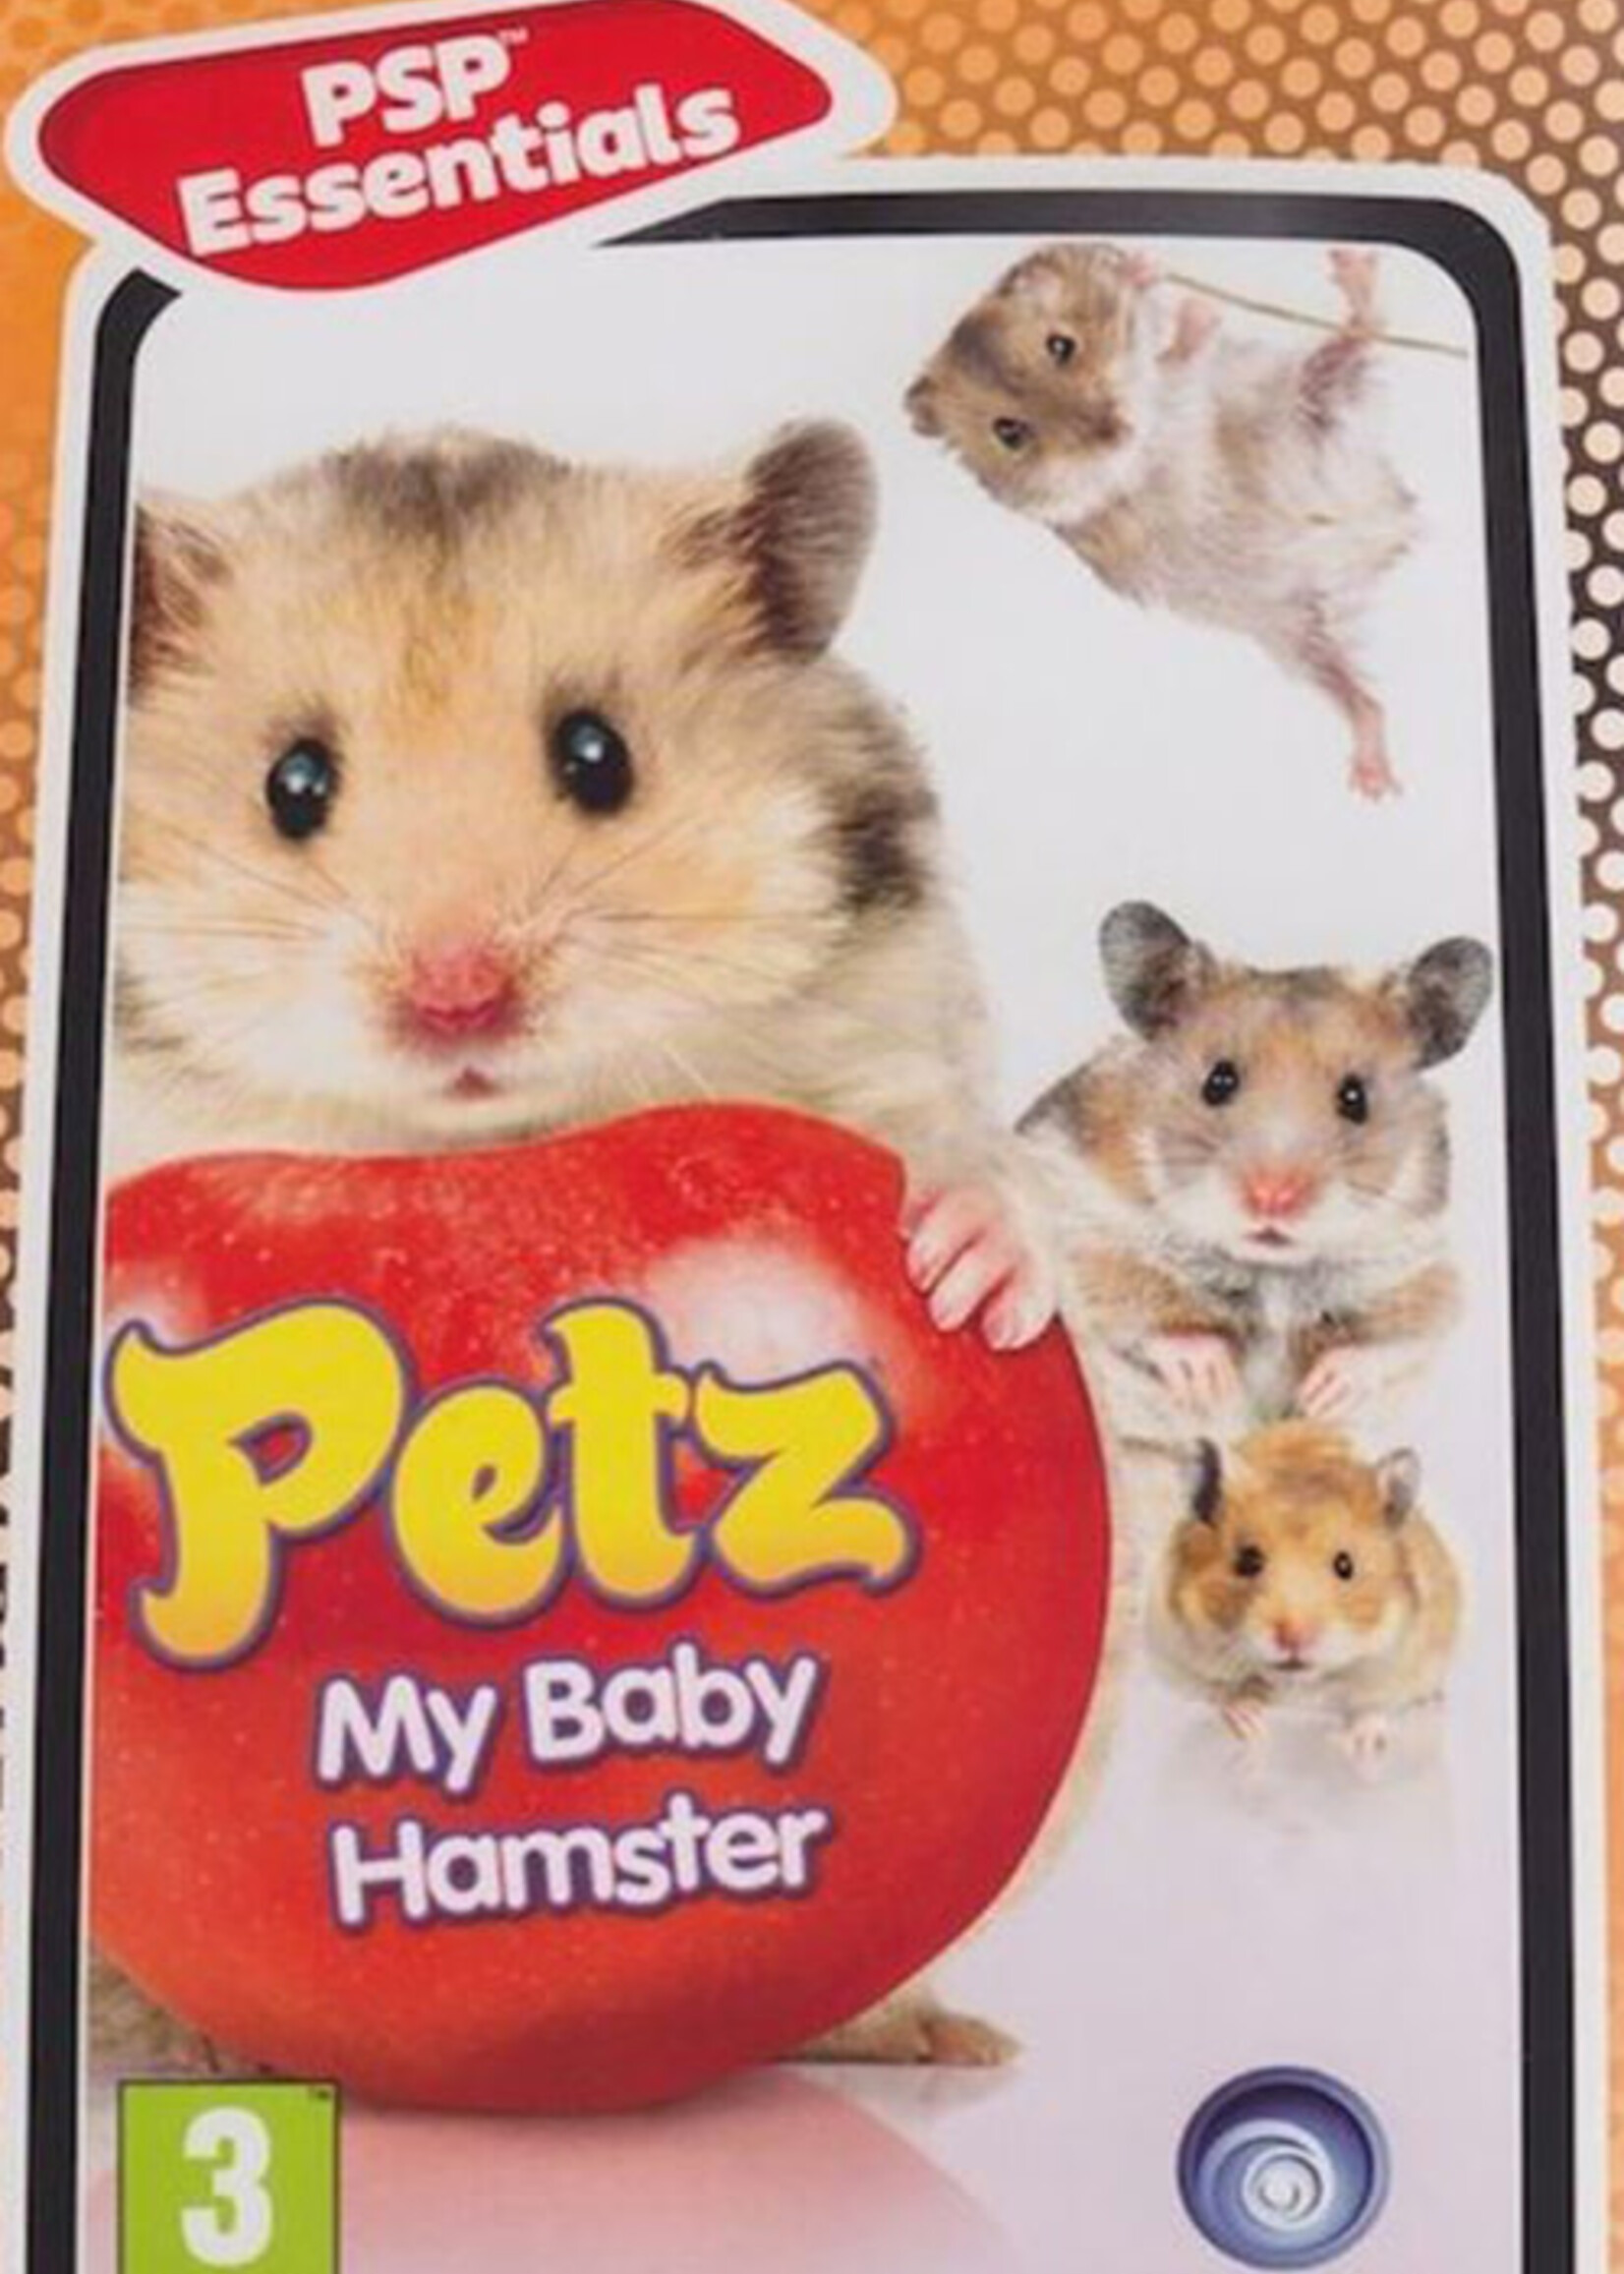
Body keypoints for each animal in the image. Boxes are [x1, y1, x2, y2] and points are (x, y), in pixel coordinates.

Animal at [906, 243, 1417, 799]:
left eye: (1061, 345)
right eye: (1008, 433)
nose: (1113, 430)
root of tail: (1389, 525)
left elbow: (1163, 357)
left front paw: (1145, 269)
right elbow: (1174, 367)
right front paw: (1190, 307)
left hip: (1309, 398)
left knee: (1361, 332)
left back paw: (1351, 264)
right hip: (1298, 632)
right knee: (1361, 699)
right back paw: (1373, 782)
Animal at [1020, 901, 1494, 1454]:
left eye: (1355, 1098)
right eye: (1218, 1082)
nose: (1273, 1198)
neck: (1270, 1272)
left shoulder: (1422, 1274)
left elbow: (1399, 1338)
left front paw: (1324, 1392)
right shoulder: (1081, 1227)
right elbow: (1130, 1306)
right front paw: (1211, 1377)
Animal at [1149, 1421, 1462, 1769]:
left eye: (1345, 1565)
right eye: (1248, 1561)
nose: (1293, 1638)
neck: (1299, 1682)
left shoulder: (1410, 1658)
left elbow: (1375, 1706)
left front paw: (1356, 1746)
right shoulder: (1173, 1650)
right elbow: (1217, 1689)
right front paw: (1249, 1723)